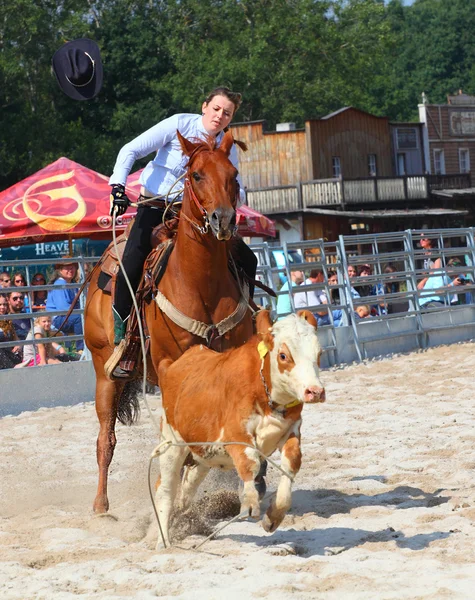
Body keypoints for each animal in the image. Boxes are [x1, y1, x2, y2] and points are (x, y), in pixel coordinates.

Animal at [85, 131, 256, 516]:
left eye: (233, 175)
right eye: (196, 175)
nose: (224, 220)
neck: (200, 282)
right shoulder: (170, 366)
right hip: (104, 372)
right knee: (106, 438)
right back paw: (101, 506)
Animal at [154, 310, 326, 544]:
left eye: (319, 353)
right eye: (283, 356)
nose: (315, 391)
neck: (266, 396)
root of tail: (171, 366)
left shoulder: (291, 431)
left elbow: (292, 462)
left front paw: (273, 517)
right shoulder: (236, 435)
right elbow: (249, 463)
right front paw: (249, 502)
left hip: (202, 456)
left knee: (187, 488)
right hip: (171, 444)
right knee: (165, 490)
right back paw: (163, 542)